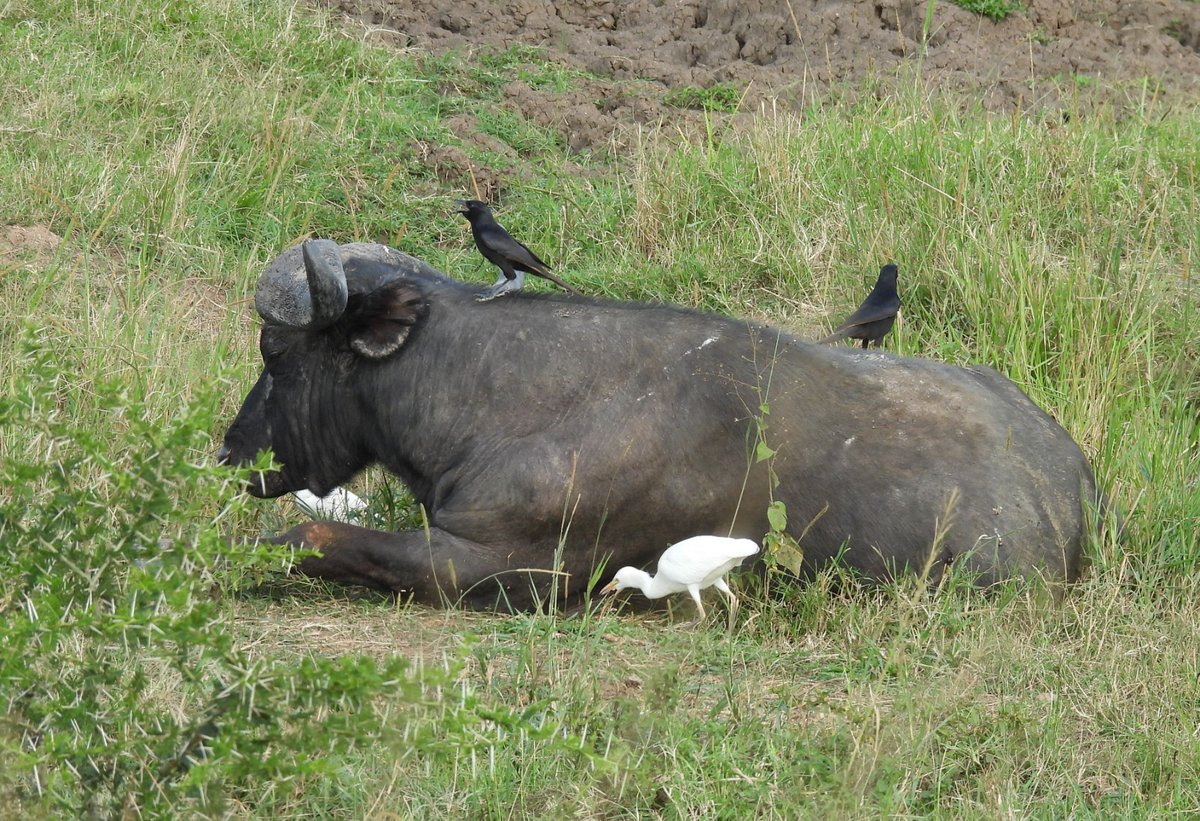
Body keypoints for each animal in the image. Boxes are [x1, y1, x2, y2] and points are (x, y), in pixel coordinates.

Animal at [220, 240, 1100, 609]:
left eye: (275, 350)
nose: (233, 447)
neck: (498, 392)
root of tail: (1071, 475)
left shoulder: (507, 564)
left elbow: (310, 536)